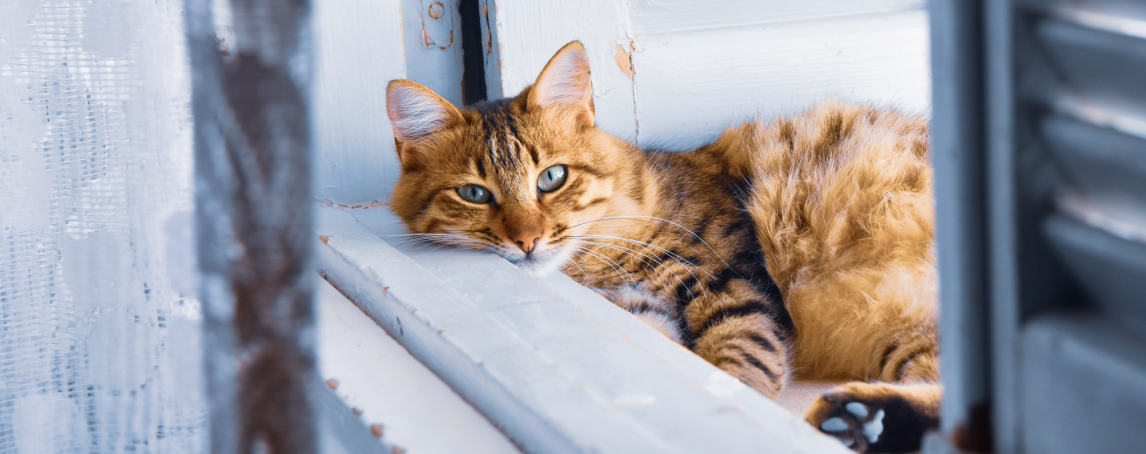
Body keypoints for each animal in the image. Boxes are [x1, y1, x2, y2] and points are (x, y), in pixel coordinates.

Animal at [385, 40, 939, 451]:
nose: (527, 240)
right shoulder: (643, 309)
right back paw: (861, 421)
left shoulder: (732, 282)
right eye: (474, 194)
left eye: (552, 178)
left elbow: (739, 361)